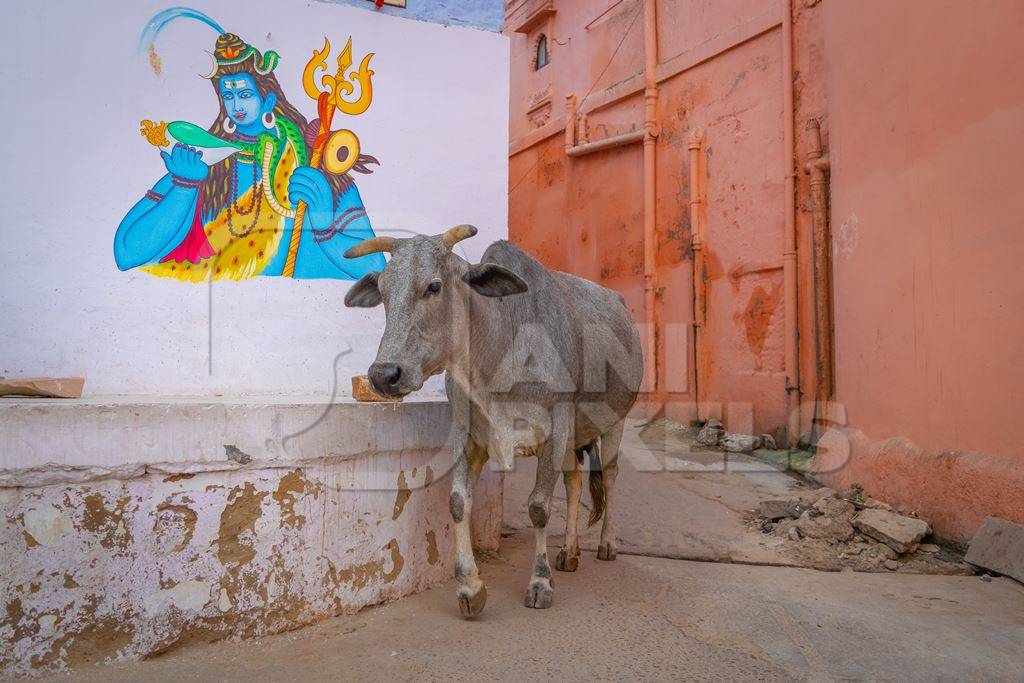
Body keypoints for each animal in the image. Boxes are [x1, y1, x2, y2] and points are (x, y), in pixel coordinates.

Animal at [348, 225, 643, 618]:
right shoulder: (469, 434)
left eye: (434, 286)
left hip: (614, 423)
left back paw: (607, 544)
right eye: (382, 292)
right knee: (575, 484)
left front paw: (540, 583)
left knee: (608, 477)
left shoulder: (555, 431)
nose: (384, 375)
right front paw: (470, 587)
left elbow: (538, 507)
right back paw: (569, 551)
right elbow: (458, 501)